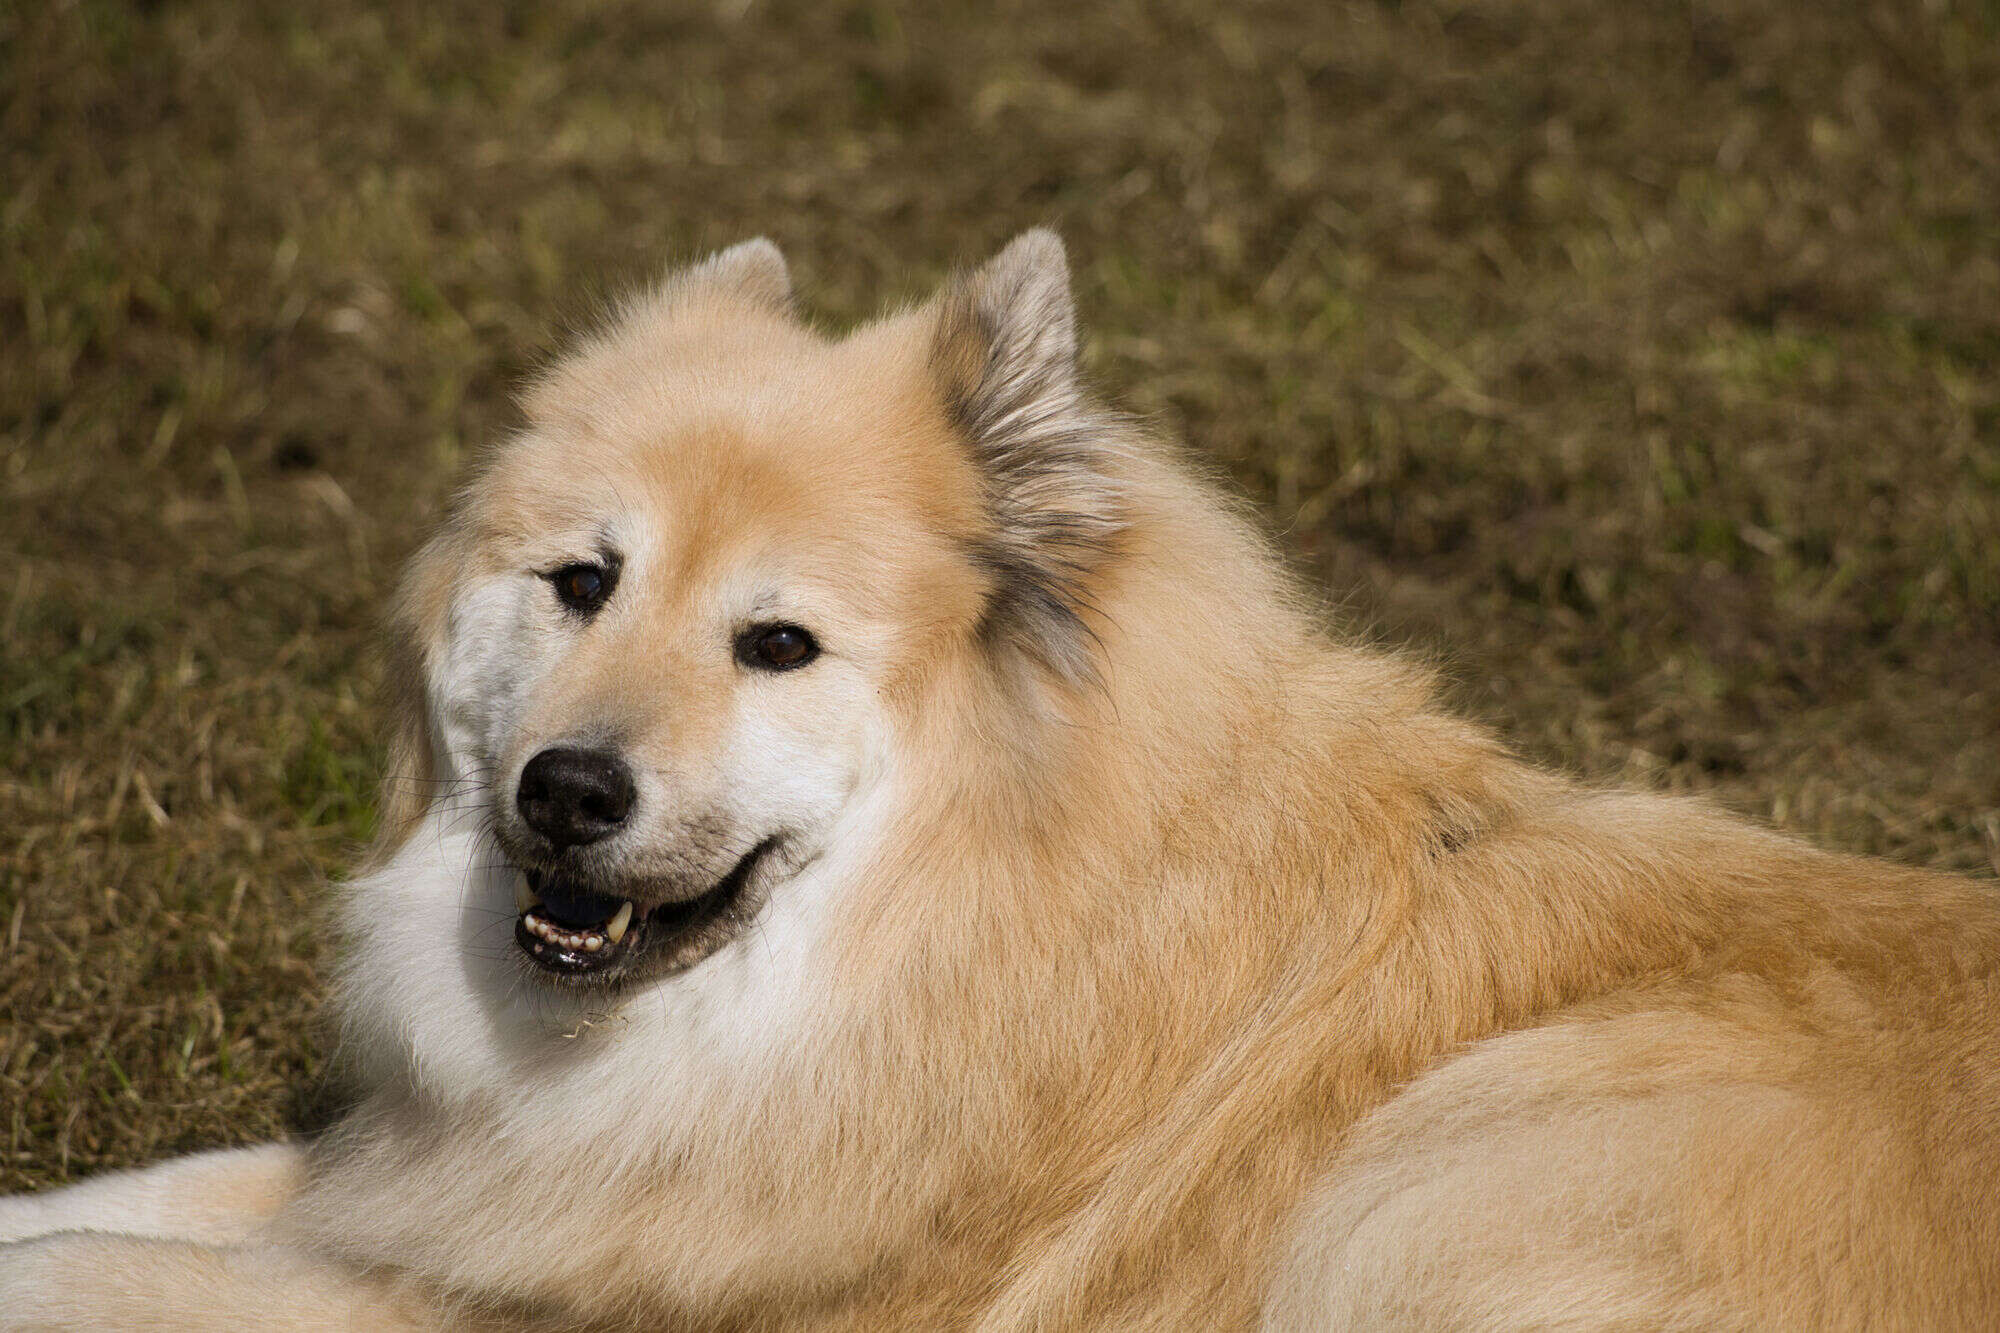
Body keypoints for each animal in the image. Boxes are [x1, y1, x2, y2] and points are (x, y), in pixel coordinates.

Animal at [3, 231, 1997, 1330]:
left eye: (778, 644)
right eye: (581, 582)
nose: (565, 791)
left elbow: (115, 1278)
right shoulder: (464, 1191)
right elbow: (149, 1199)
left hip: (1455, 1168)